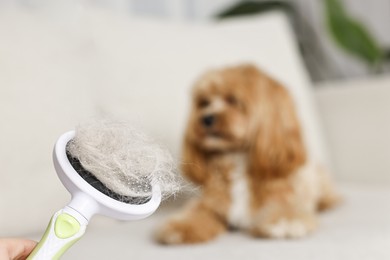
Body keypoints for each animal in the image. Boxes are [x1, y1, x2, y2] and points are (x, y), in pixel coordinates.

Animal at [155, 64, 338, 245]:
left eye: (233, 99)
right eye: (204, 103)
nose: (206, 118)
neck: (238, 160)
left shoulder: (287, 197)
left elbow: (287, 210)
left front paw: (283, 222)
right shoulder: (210, 203)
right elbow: (197, 212)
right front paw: (181, 226)